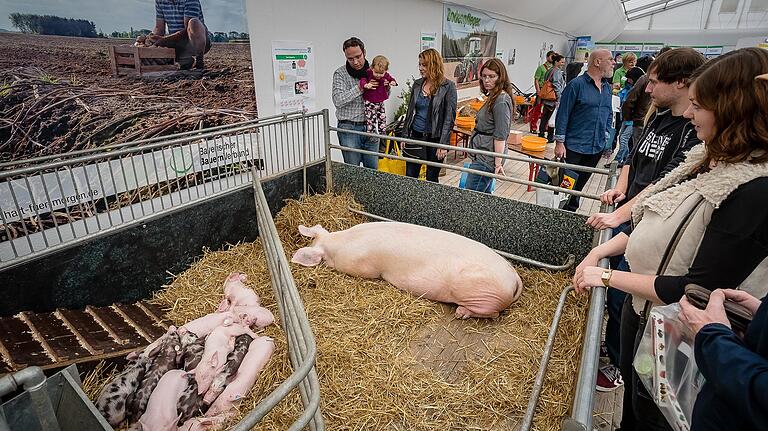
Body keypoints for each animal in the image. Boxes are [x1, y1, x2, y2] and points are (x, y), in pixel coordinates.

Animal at [290, 223, 520, 320]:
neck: (339, 242)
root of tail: (515, 278)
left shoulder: (364, 267)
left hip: (482, 294)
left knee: (495, 314)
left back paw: (460, 313)